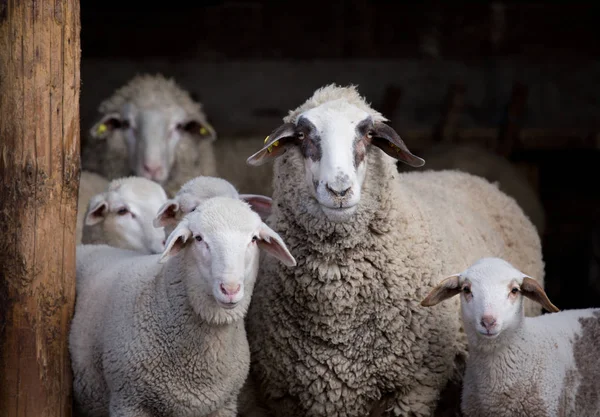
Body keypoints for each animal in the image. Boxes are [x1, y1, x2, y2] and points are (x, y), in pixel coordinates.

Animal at [241, 83, 548, 416]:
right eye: (302, 135)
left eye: (367, 134)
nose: (339, 191)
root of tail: (478, 179)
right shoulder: (288, 395)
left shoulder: (415, 389)